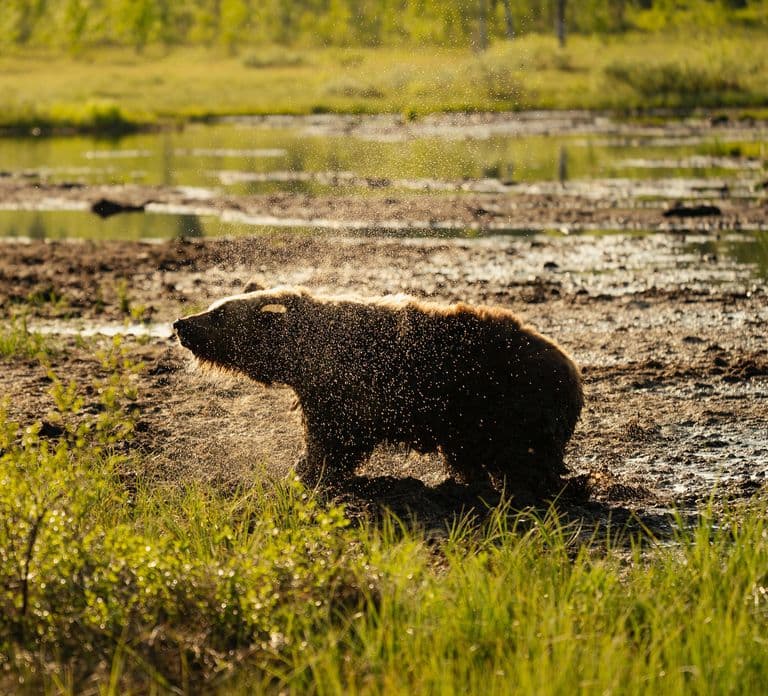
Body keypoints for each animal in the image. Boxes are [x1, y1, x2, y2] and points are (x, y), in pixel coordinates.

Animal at [173, 287, 584, 499]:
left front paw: (305, 470)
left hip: (503, 400)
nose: (181, 323)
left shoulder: (346, 389)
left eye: (219, 313)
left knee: (521, 456)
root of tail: (572, 369)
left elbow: (335, 439)